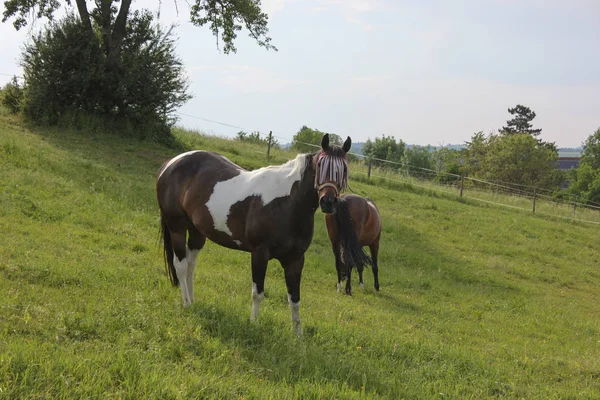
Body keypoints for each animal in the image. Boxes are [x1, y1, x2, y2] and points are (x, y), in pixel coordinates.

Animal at [156, 134, 352, 334]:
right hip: (177, 228)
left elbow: (295, 299)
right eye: (320, 165)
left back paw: (192, 299)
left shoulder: (295, 259)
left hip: (197, 232)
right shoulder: (259, 253)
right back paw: (187, 303)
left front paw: (298, 334)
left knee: (190, 265)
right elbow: (258, 293)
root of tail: (170, 163)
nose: (328, 202)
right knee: (180, 265)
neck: (287, 203)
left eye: (344, 169)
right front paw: (254, 324)